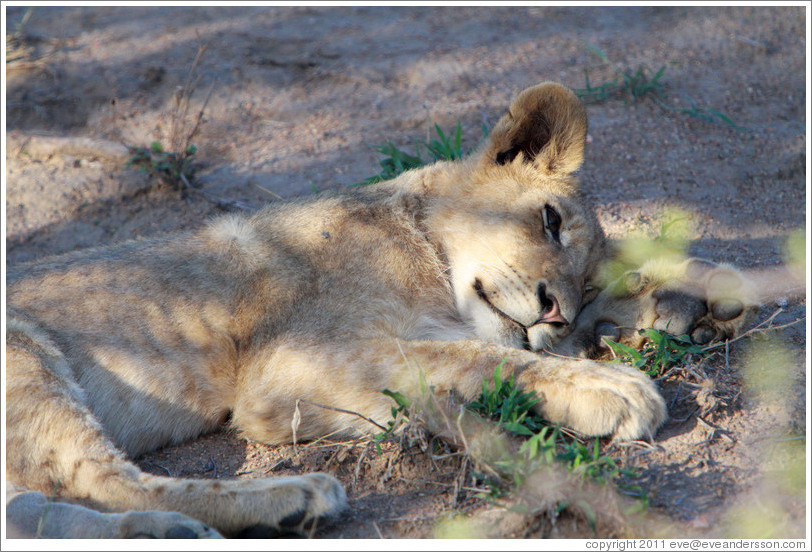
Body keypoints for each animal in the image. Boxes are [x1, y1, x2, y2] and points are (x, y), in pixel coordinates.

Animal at [5, 82, 757, 538]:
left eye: (585, 281)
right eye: (548, 220)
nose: (554, 315)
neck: (426, 252)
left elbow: (475, 351)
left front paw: (696, 301)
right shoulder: (286, 371)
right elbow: (466, 355)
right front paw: (613, 385)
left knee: (38, 503)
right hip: (24, 353)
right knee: (99, 478)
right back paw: (289, 500)